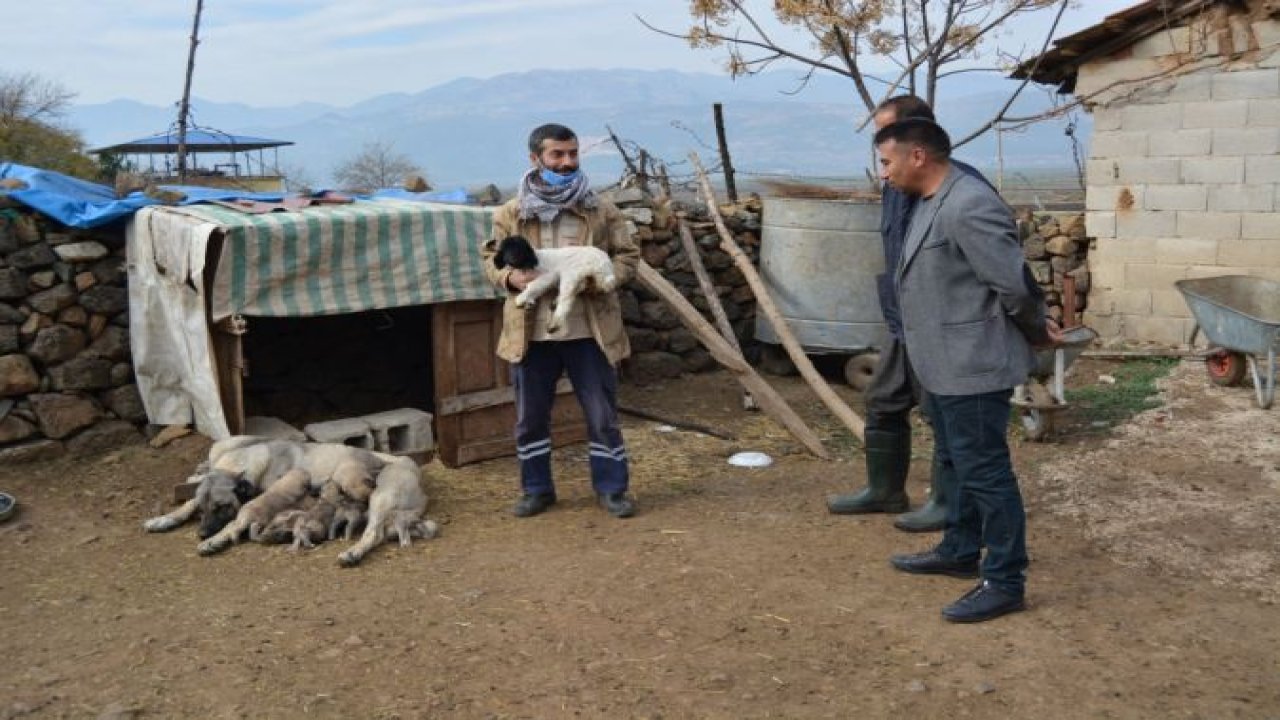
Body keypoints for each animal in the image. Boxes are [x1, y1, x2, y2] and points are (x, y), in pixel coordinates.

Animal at [144, 430, 384, 538]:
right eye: (204, 510)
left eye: (222, 507)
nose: (201, 534)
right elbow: (189, 504)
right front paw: (165, 519)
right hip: (222, 447)